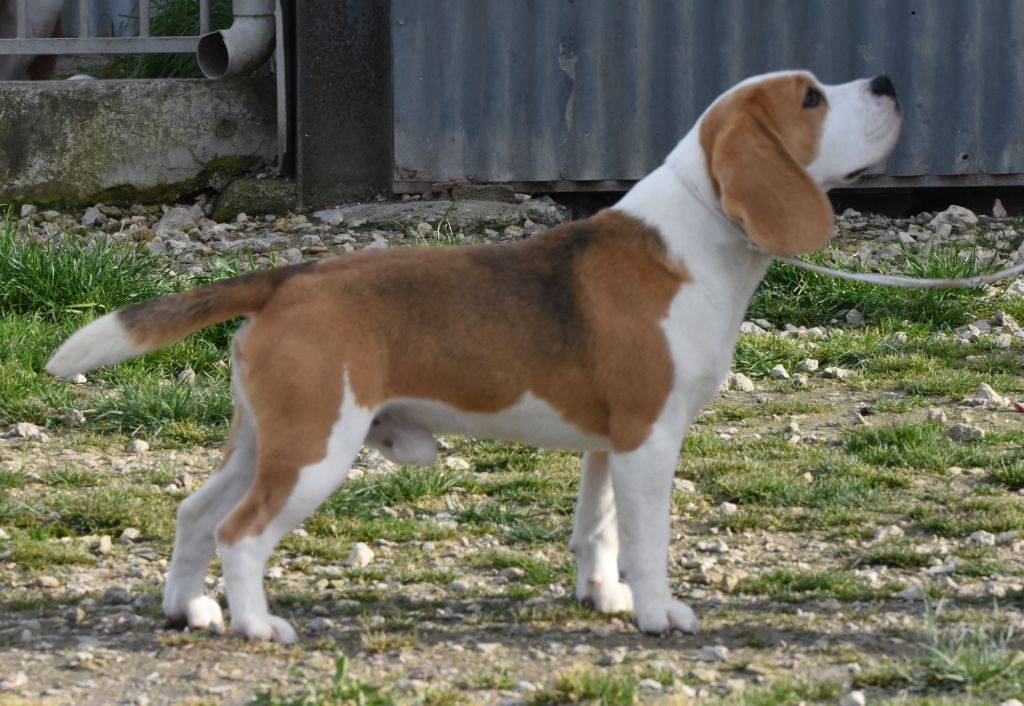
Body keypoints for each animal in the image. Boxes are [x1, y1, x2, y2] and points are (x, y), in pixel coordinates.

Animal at [49, 70, 897, 639]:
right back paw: (258, 626)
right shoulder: (650, 438)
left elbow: (599, 529)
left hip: (269, 440)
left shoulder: (611, 443)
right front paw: (658, 613)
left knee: (196, 514)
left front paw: (604, 597)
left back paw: (190, 608)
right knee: (240, 533)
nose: (887, 81)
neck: (691, 240)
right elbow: (647, 540)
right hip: (315, 450)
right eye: (812, 98)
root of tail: (291, 275)